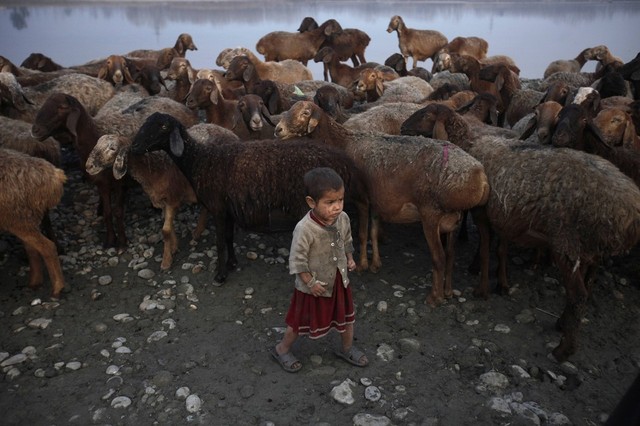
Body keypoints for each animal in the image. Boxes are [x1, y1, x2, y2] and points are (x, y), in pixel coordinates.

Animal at [0, 148, 67, 298]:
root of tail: (55, 175)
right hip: (23, 220)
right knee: (32, 249)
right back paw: (34, 283)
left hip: (18, 219)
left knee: (47, 247)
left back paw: (57, 288)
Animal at [129, 111, 370, 284]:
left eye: (162, 126)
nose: (134, 147)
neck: (201, 161)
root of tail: (345, 163)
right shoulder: (228, 209)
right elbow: (228, 238)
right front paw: (232, 263)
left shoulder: (218, 208)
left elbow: (219, 242)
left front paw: (220, 275)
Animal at [274, 100, 490, 306]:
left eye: (305, 113)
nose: (278, 129)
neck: (344, 142)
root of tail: (480, 177)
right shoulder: (377, 201)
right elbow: (374, 231)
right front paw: (375, 263)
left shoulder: (361, 199)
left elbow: (362, 234)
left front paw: (361, 265)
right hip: (454, 219)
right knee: (451, 255)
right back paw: (448, 291)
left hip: (431, 215)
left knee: (439, 258)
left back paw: (435, 298)